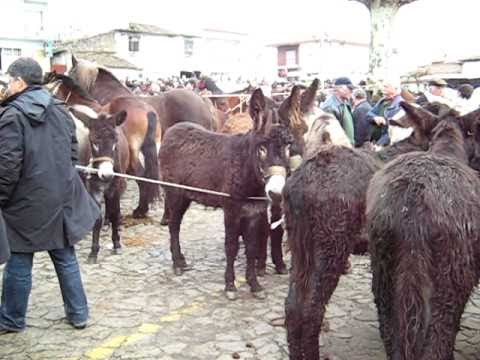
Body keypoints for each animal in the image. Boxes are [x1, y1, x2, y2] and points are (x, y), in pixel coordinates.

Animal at [67, 105, 130, 262]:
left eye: (115, 140)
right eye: (93, 142)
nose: (106, 175)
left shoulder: (115, 186)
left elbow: (115, 213)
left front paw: (116, 244)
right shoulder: (92, 188)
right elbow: (97, 218)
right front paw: (93, 251)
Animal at [160, 88, 296, 300]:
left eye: (288, 146)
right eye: (262, 148)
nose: (276, 193)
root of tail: (172, 130)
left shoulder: (254, 212)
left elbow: (251, 248)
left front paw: (254, 285)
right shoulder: (231, 210)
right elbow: (231, 246)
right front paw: (230, 286)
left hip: (186, 197)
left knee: (176, 225)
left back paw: (181, 260)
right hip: (174, 193)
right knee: (173, 226)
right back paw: (177, 265)